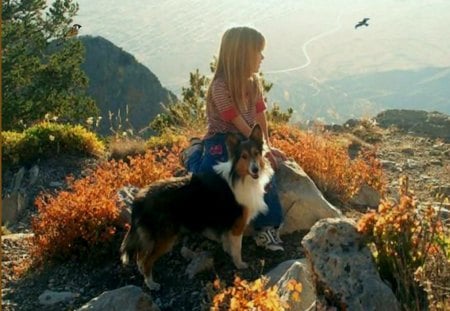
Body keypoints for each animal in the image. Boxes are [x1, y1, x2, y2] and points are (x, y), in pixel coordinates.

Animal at [119, 125, 272, 292]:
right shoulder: (237, 225)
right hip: (164, 238)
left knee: (140, 258)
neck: (239, 176)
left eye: (256, 153)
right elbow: (237, 248)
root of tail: (139, 199)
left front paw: (228, 252)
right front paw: (240, 264)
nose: (255, 169)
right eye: (244, 156)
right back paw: (152, 284)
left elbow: (227, 242)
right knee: (146, 260)